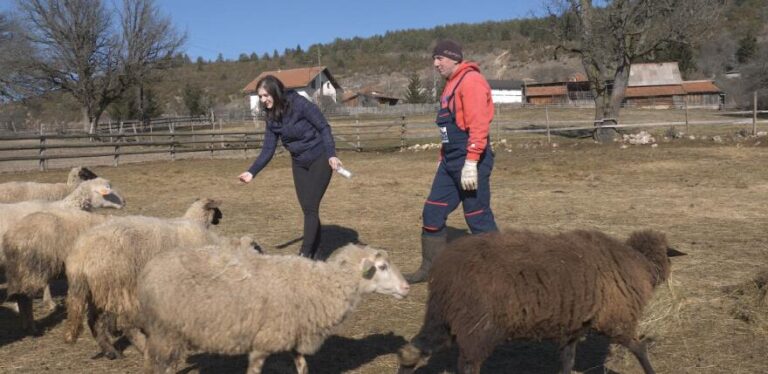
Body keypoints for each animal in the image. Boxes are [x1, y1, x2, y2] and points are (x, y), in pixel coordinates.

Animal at [62, 199, 231, 360]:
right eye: (217, 210)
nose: (222, 216)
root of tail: (80, 256)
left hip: (98, 291)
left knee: (94, 321)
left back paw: (110, 351)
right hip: (117, 287)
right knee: (123, 323)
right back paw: (140, 348)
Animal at [138, 241, 414, 372]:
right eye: (382, 267)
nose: (406, 287)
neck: (322, 285)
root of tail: (150, 267)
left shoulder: (293, 336)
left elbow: (303, 366)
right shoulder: (263, 342)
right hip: (165, 331)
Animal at [396, 228, 684, 374]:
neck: (639, 263)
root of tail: (443, 271)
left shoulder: (573, 326)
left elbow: (567, 360)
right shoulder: (616, 319)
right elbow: (639, 348)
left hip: (444, 316)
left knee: (412, 350)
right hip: (478, 325)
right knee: (467, 365)